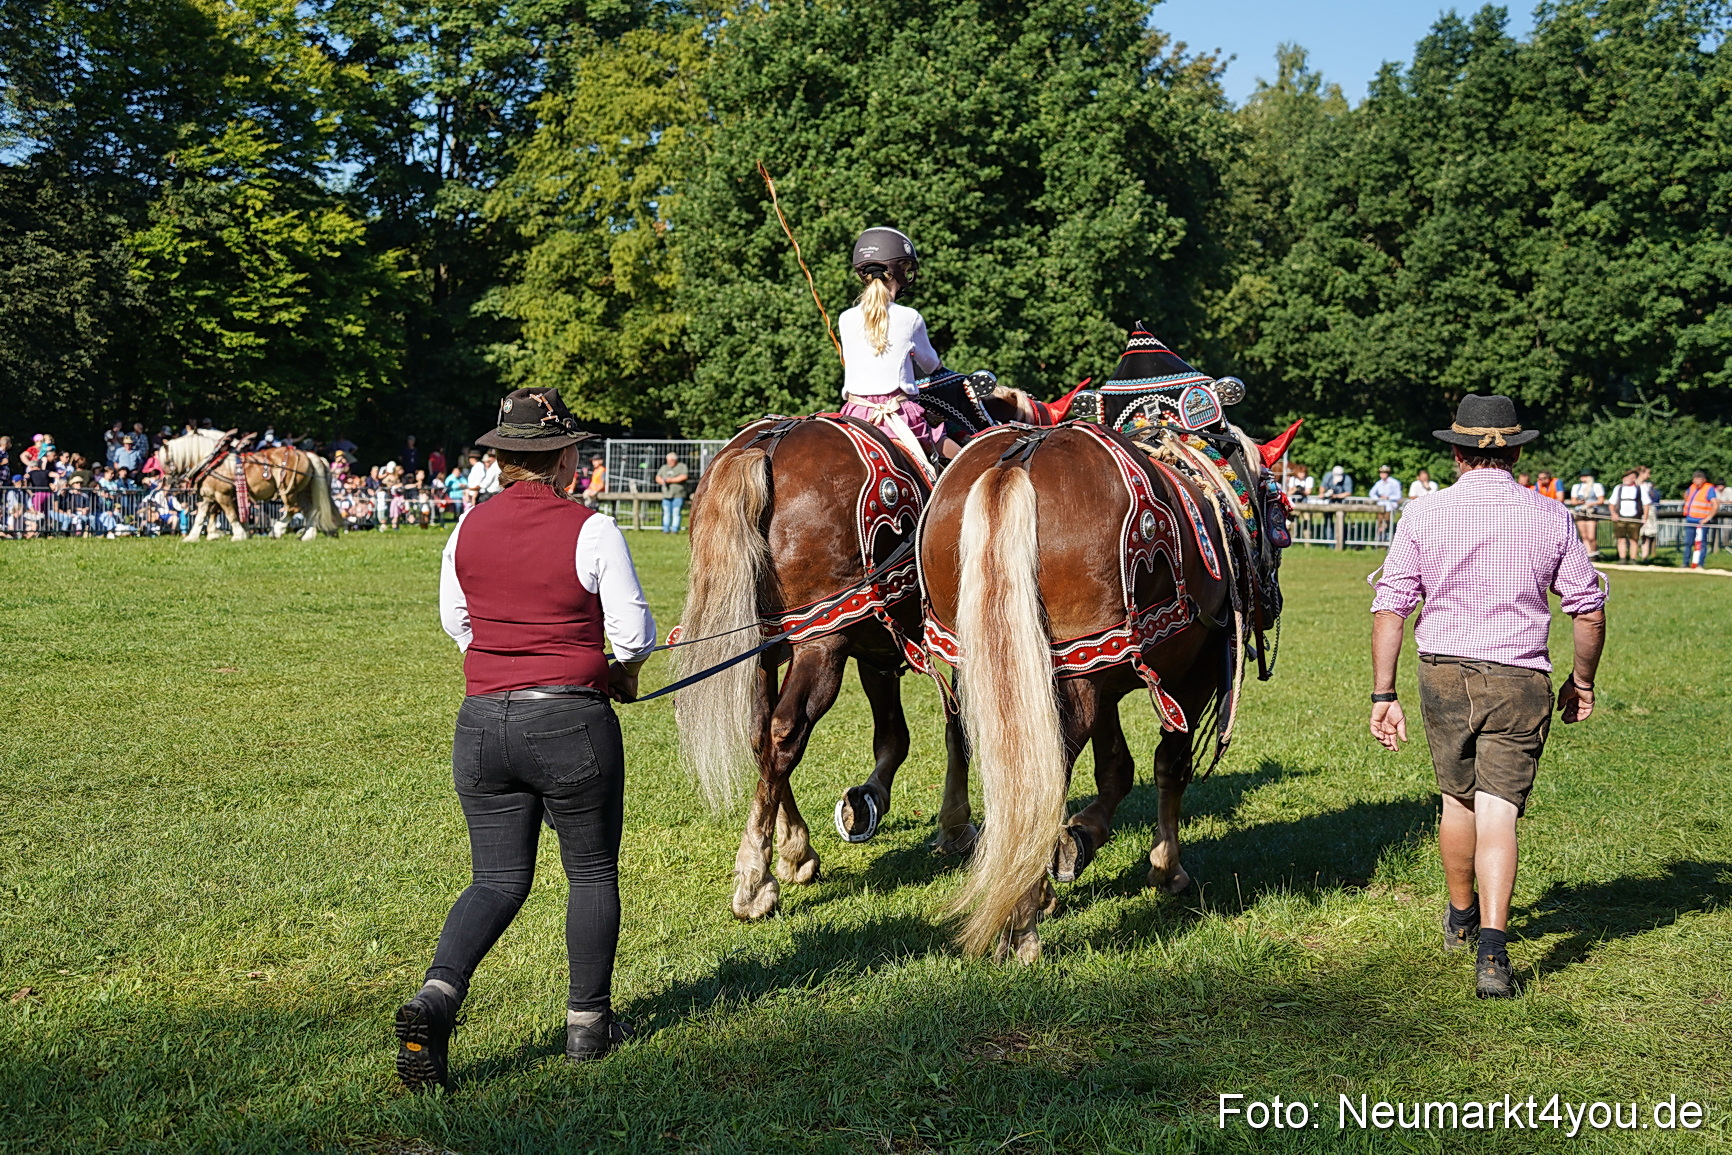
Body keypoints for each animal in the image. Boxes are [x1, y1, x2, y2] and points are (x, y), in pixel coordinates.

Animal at [158, 431, 341, 542]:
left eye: (166, 461)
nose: (167, 482)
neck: (211, 463)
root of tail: (308, 454)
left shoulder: (222, 495)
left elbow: (231, 515)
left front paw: (238, 535)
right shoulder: (208, 497)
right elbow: (200, 517)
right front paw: (192, 537)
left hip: (288, 491)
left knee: (293, 509)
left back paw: (277, 530)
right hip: (301, 491)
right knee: (310, 511)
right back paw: (307, 535)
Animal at [674, 378, 1052, 920]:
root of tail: (767, 445)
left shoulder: (877, 650)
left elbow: (893, 737)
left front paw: (867, 801)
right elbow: (957, 730)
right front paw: (955, 823)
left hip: (766, 645)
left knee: (761, 733)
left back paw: (794, 849)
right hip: (821, 645)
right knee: (786, 730)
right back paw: (756, 877)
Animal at [919, 418, 1287, 962]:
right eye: (1280, 514)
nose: (1273, 598)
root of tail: (1018, 462)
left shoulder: (1102, 670)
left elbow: (1115, 768)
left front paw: (1078, 842)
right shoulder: (1191, 674)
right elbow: (1169, 766)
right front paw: (1165, 867)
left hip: (1001, 661)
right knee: (1044, 774)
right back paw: (1022, 924)